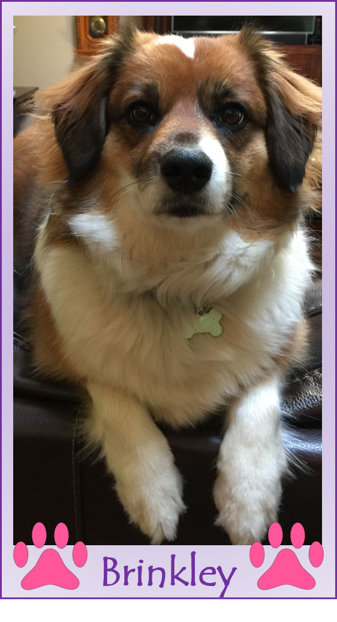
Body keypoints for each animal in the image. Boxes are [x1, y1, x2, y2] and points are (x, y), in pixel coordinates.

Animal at [13, 26, 320, 544]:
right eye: (140, 111)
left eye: (232, 114)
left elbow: (259, 394)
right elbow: (115, 395)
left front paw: (248, 497)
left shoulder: (289, 341)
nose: (187, 169)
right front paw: (152, 489)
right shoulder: (58, 349)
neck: (180, 274)